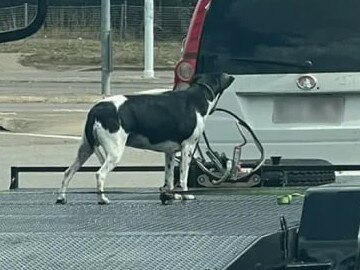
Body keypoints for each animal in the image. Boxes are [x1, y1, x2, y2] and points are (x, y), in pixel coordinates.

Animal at [56, 73, 235, 204]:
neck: (198, 97)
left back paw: (61, 197)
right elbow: (183, 177)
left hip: (85, 150)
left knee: (68, 172)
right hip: (114, 152)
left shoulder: (170, 153)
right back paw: (103, 199)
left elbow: (169, 178)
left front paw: (172, 196)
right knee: (100, 174)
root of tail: (96, 109)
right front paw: (185, 195)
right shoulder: (188, 148)